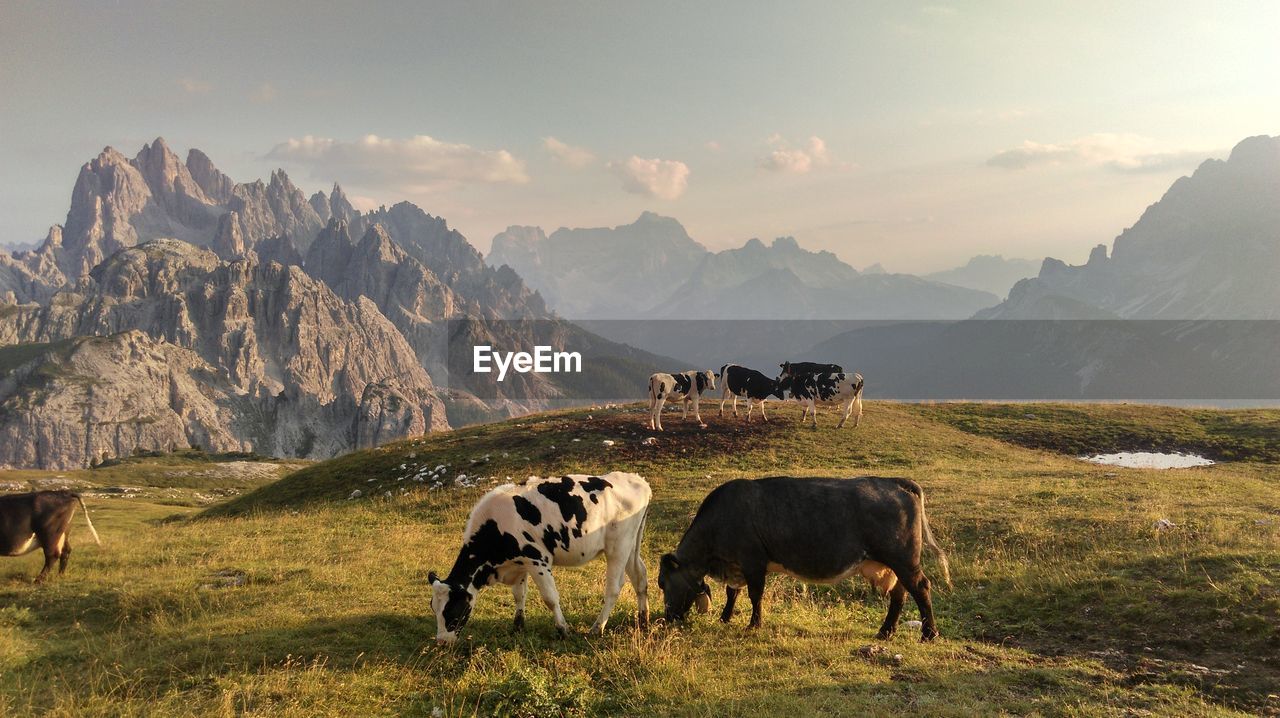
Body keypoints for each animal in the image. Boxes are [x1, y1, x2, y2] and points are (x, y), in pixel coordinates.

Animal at [430, 470, 650, 645]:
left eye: (451, 611)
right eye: (434, 608)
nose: (442, 642)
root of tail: (636, 479)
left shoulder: (537, 560)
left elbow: (550, 598)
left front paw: (563, 630)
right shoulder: (520, 563)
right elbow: (519, 595)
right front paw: (518, 626)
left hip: (617, 547)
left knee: (614, 588)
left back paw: (597, 628)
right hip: (631, 546)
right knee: (639, 576)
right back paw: (643, 621)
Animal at [660, 476, 952, 637]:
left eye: (663, 583)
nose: (668, 617)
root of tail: (894, 481)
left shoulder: (753, 562)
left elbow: (755, 595)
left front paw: (754, 625)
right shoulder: (736, 566)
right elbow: (733, 593)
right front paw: (725, 617)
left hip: (904, 560)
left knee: (921, 588)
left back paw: (929, 634)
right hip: (892, 565)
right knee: (899, 594)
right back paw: (885, 631)